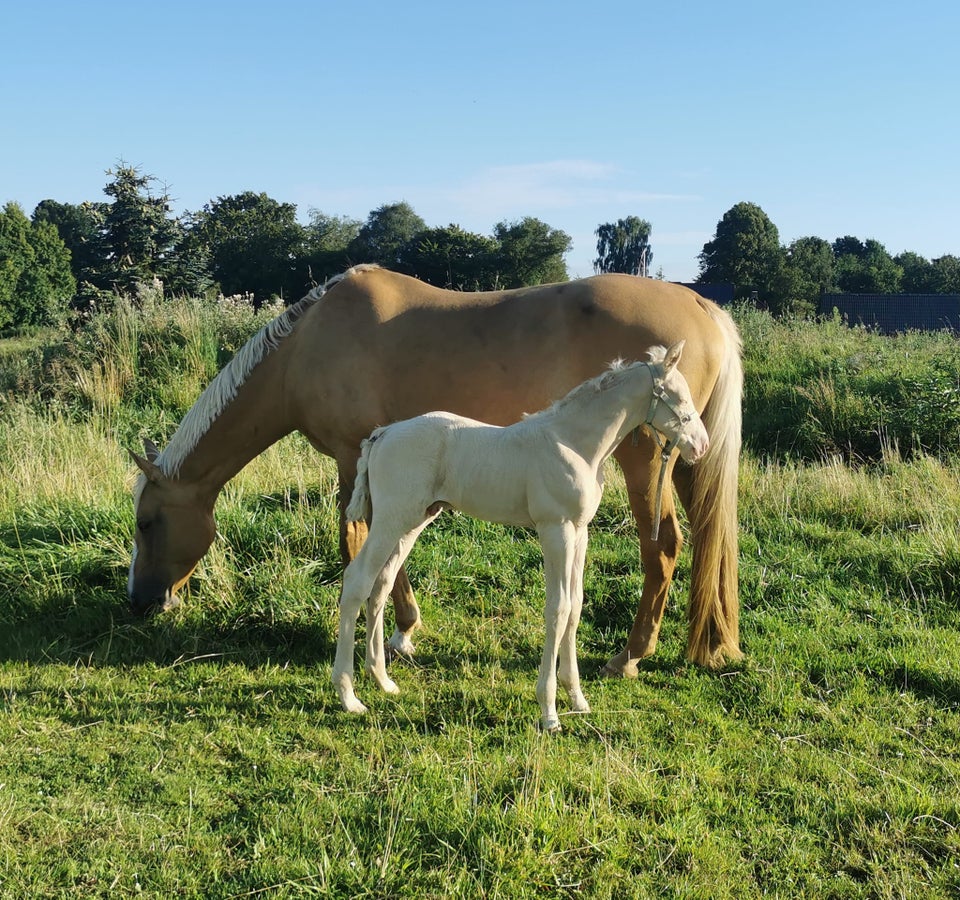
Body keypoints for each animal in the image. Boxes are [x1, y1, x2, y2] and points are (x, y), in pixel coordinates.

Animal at [127, 268, 744, 676]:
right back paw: (705, 644)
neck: (305, 345)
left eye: (146, 523)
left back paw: (630, 655)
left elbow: (359, 541)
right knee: (706, 541)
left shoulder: (353, 459)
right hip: (687, 460)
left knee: (663, 546)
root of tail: (701, 305)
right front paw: (399, 629)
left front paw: (397, 630)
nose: (140, 603)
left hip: (646, 459)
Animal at [334, 344, 708, 732]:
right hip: (391, 520)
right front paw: (550, 712)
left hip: (412, 521)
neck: (574, 444)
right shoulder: (555, 529)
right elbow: (558, 608)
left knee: (381, 584)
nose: (701, 446)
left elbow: (576, 605)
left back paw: (382, 680)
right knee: (357, 581)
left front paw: (577, 699)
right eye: (678, 398)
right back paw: (348, 696)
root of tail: (383, 434)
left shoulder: (580, 532)